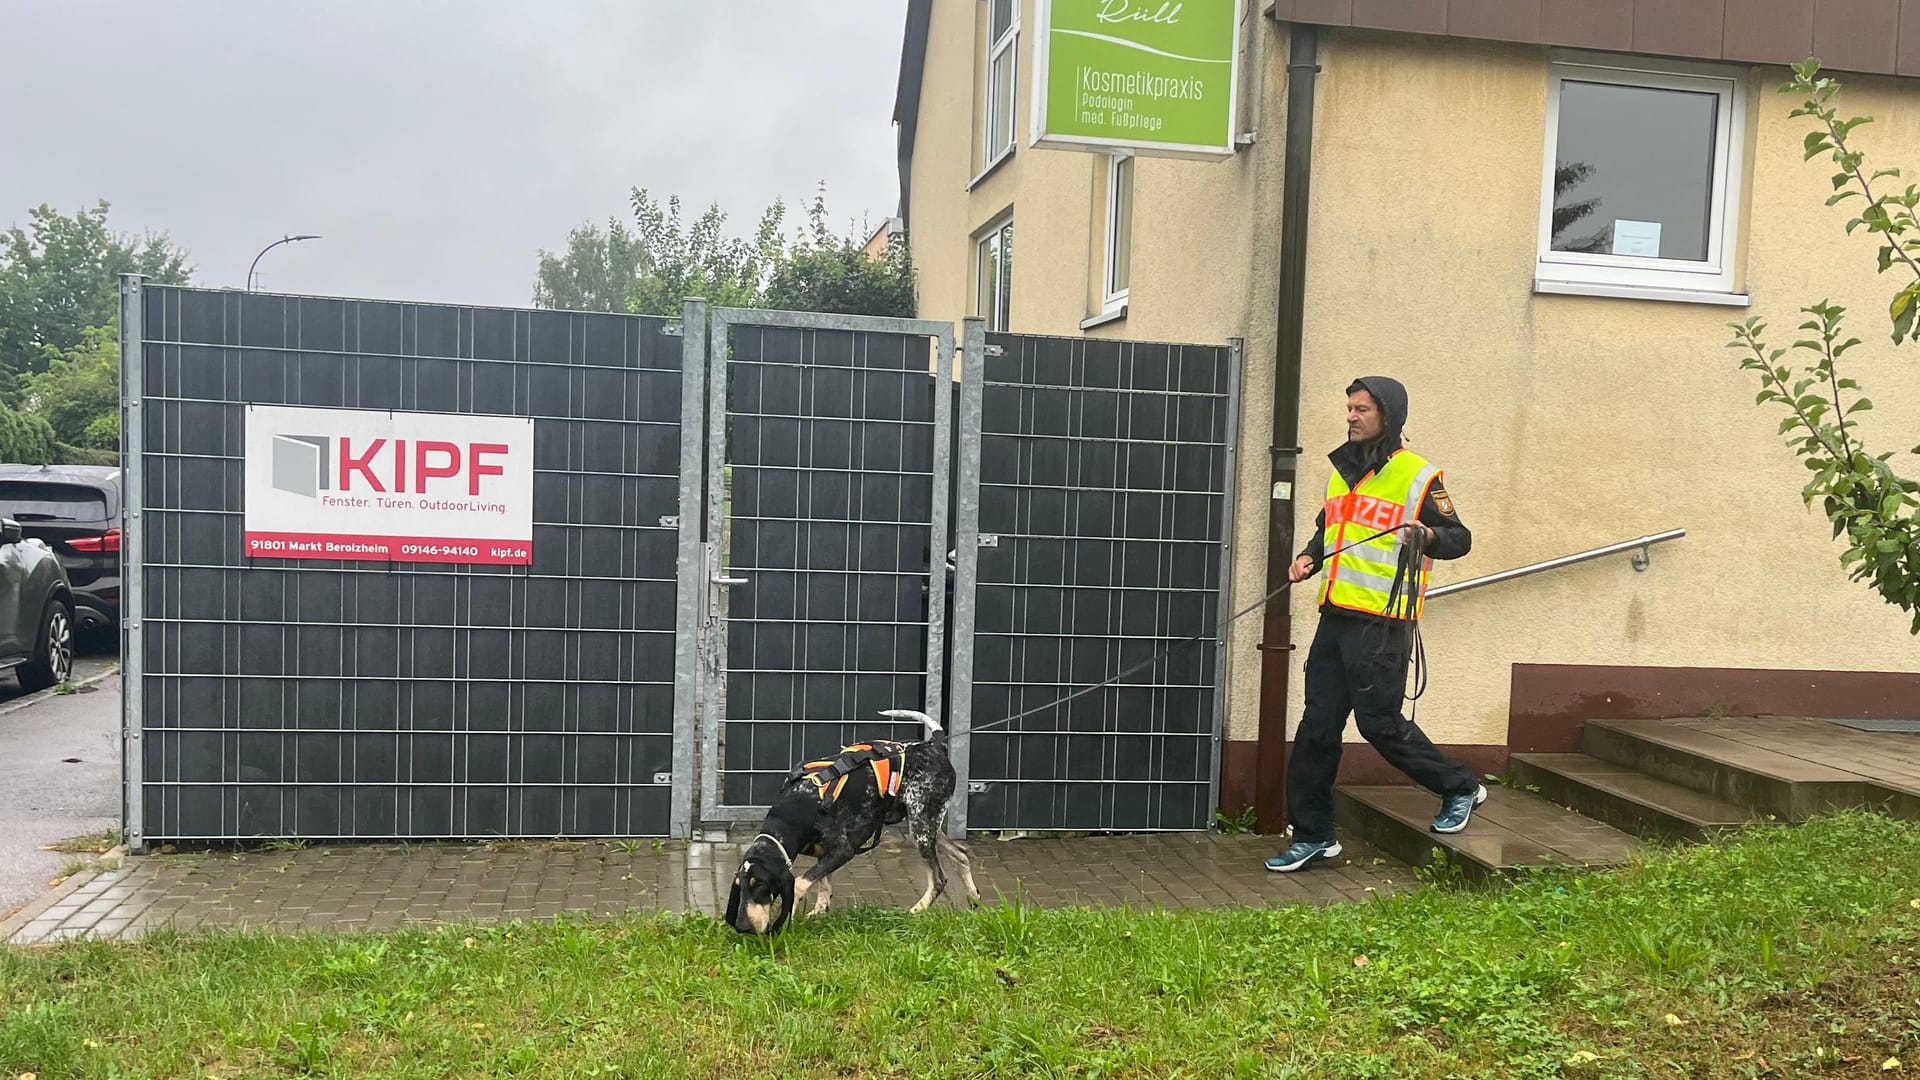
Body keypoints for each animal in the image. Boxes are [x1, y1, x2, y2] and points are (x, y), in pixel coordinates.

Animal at [721, 707, 983, 933]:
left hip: (921, 829)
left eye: (760, 885)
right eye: (739, 888)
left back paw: (917, 910)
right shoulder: (824, 853)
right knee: (960, 854)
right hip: (925, 826)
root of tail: (935, 745)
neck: (799, 807)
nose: (742, 926)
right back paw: (973, 898)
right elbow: (823, 885)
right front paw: (819, 910)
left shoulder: (842, 851)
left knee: (939, 879)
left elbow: (800, 883)